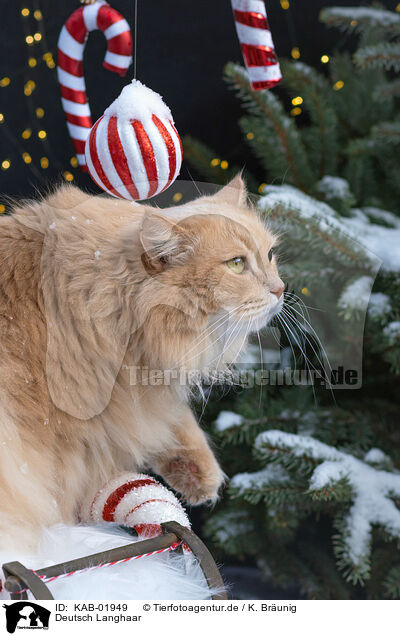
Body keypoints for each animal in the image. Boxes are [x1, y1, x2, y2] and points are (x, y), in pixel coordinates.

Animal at [0, 175, 282, 552]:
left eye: (270, 255)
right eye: (237, 264)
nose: (281, 289)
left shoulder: (140, 391)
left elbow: (173, 419)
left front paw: (200, 473)